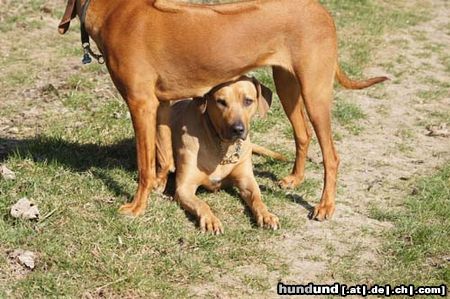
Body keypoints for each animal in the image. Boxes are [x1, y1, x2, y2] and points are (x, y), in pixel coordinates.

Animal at [58, 0, 386, 220]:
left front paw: (138, 206)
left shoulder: (140, 103)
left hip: (315, 91)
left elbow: (144, 165)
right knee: (302, 134)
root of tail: (323, 11)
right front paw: (161, 185)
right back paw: (295, 178)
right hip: (287, 84)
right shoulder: (160, 104)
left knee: (331, 155)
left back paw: (325, 205)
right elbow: (162, 153)